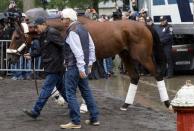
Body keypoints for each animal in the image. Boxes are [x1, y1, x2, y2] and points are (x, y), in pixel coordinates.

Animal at [6, 14, 172, 110]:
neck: (65, 29)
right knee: (135, 77)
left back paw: (167, 103)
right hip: (126, 55)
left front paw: (78, 104)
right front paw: (59, 98)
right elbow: (56, 80)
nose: (9, 58)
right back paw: (126, 105)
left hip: (142, 56)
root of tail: (144, 25)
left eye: (17, 37)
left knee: (157, 74)